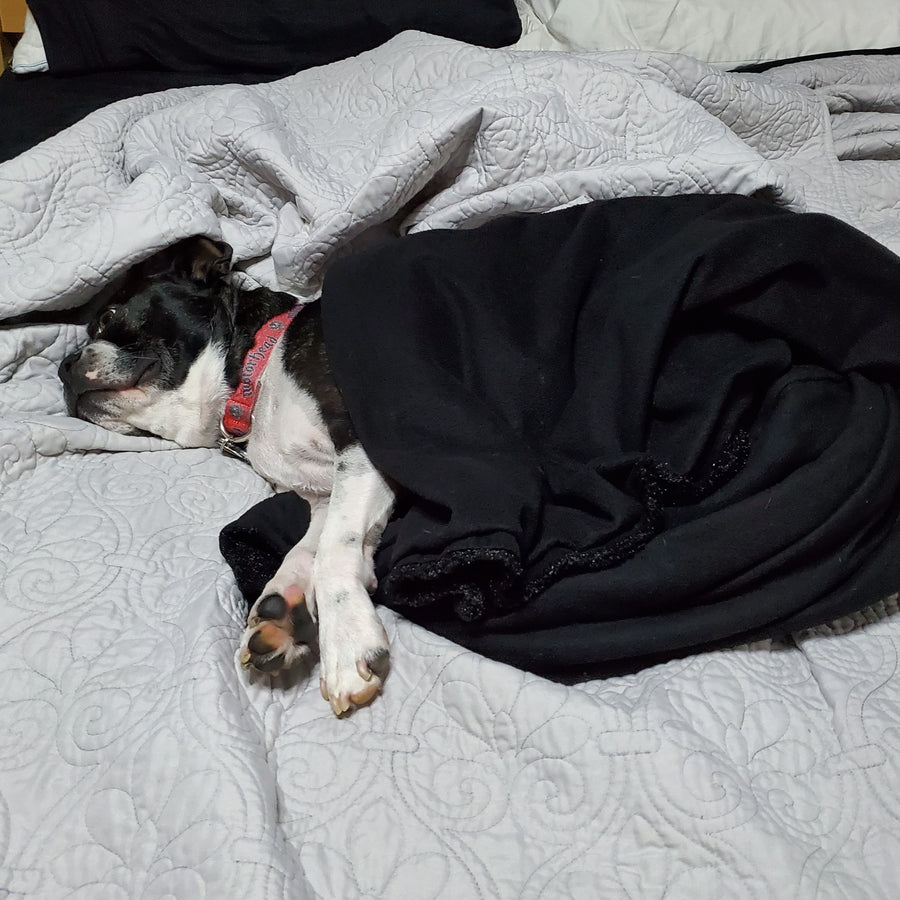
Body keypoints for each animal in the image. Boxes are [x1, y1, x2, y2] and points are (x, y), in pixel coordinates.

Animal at [57, 237, 394, 716]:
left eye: (108, 317)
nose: (63, 369)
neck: (258, 370)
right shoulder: (327, 493)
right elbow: (309, 547)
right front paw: (283, 608)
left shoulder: (362, 442)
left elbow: (332, 550)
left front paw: (346, 640)